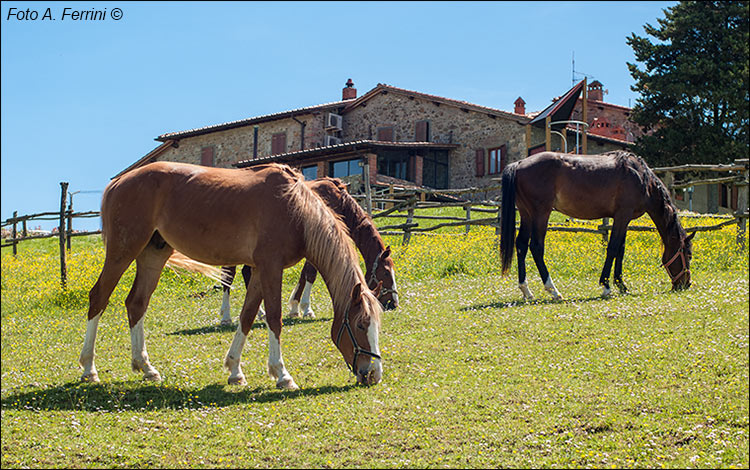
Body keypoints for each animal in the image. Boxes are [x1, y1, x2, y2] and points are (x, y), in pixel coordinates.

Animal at [219, 176, 400, 324]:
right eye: (385, 273)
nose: (393, 304)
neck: (339, 202)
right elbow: (311, 274)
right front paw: (306, 309)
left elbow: (304, 274)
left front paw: (294, 307)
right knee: (228, 277)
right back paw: (226, 317)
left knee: (246, 272)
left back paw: (260, 313)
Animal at [502, 151, 696, 302]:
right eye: (688, 255)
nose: (685, 284)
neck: (641, 178)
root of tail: (518, 164)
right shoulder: (623, 215)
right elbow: (613, 248)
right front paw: (606, 286)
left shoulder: (624, 218)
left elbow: (620, 250)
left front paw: (621, 285)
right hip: (541, 214)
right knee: (536, 247)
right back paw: (553, 291)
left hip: (527, 214)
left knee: (521, 245)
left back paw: (526, 291)